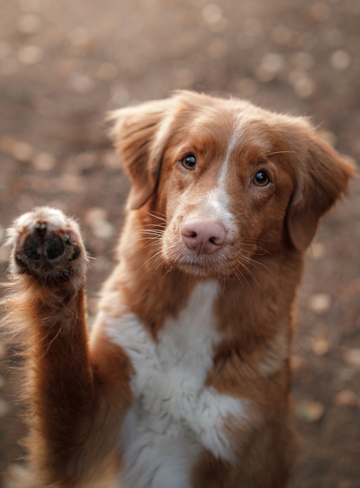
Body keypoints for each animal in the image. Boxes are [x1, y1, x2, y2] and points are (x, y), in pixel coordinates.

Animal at [3, 92, 354, 488]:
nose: (202, 234)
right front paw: (55, 262)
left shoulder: (242, 447)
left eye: (262, 178)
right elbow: (62, 360)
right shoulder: (83, 441)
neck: (196, 305)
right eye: (188, 160)